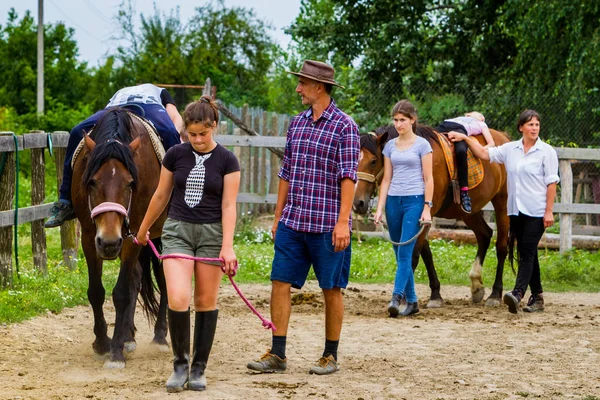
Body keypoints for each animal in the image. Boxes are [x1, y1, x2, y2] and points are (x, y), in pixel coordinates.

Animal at [72, 108, 169, 368]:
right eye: (92, 182)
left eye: (130, 183)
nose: (109, 242)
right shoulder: (89, 237)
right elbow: (96, 292)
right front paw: (102, 343)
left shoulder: (132, 237)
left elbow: (122, 292)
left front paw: (115, 352)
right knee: (136, 278)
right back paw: (128, 336)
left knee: (165, 277)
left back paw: (160, 336)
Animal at [354, 125, 508, 306]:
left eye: (373, 161)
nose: (358, 203)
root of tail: (504, 137)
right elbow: (426, 254)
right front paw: (435, 294)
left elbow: (413, 255)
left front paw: (404, 298)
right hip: (468, 212)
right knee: (485, 235)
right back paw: (476, 285)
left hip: (502, 202)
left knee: (501, 247)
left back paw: (495, 294)